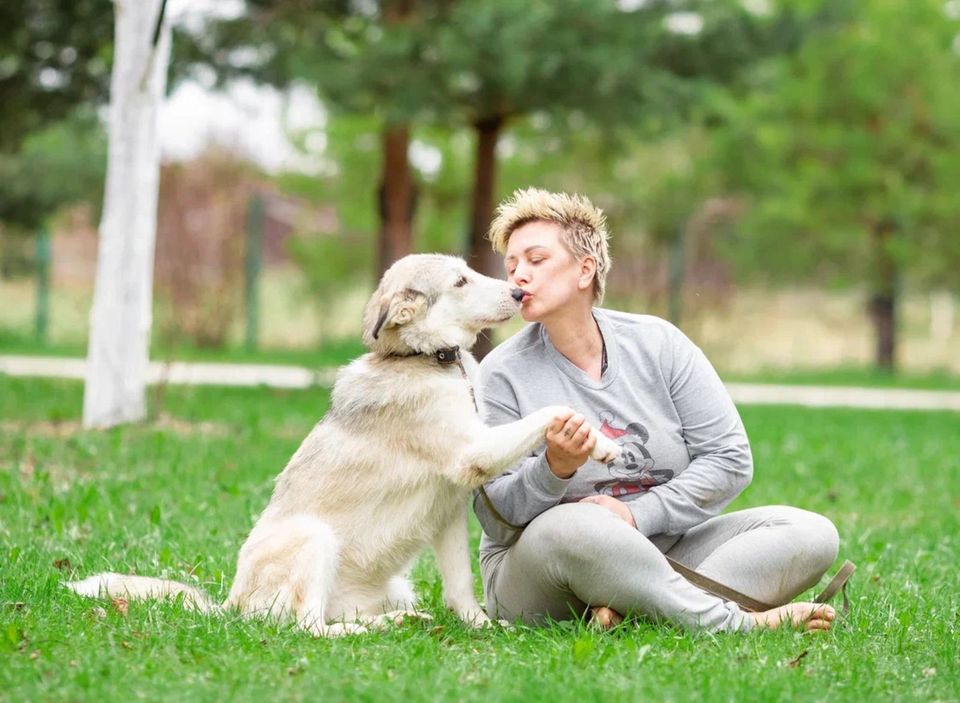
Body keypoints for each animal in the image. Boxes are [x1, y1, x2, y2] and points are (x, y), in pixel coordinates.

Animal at [67, 254, 624, 640]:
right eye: (461, 281)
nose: (517, 290)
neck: (430, 360)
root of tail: (229, 604)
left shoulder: (449, 514)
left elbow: (462, 590)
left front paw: (482, 628)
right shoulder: (475, 453)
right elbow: (550, 413)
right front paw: (598, 444)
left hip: (394, 583)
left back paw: (401, 621)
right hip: (315, 539)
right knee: (308, 628)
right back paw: (368, 631)